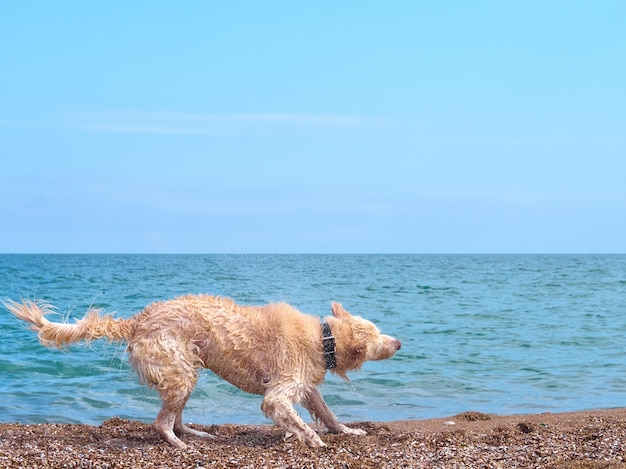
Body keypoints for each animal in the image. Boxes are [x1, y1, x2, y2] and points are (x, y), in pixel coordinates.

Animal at [3, 294, 400, 448]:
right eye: (378, 337)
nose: (398, 343)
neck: (323, 338)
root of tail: (140, 319)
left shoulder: (306, 387)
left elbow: (327, 413)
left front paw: (346, 431)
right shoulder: (277, 395)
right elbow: (292, 416)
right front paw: (311, 439)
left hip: (185, 372)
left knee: (176, 418)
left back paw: (195, 434)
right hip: (179, 371)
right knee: (161, 423)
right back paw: (178, 444)